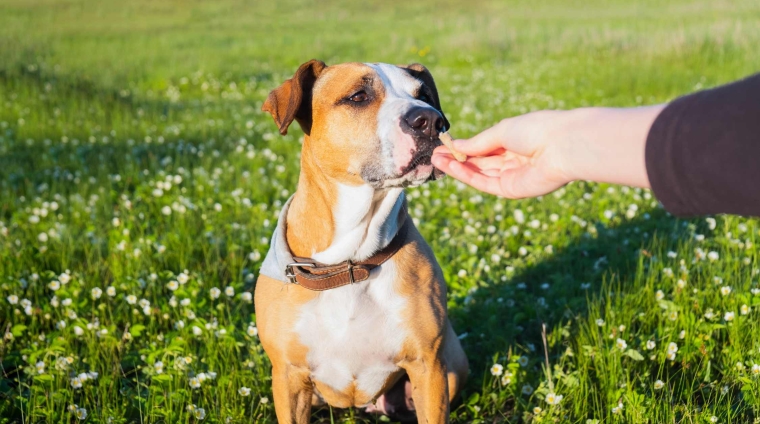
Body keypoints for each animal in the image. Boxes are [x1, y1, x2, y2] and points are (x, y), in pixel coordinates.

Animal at [258, 60, 466, 424]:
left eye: (424, 95)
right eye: (358, 96)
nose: (430, 121)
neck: (351, 261)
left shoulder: (428, 367)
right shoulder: (288, 376)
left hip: (452, 366)